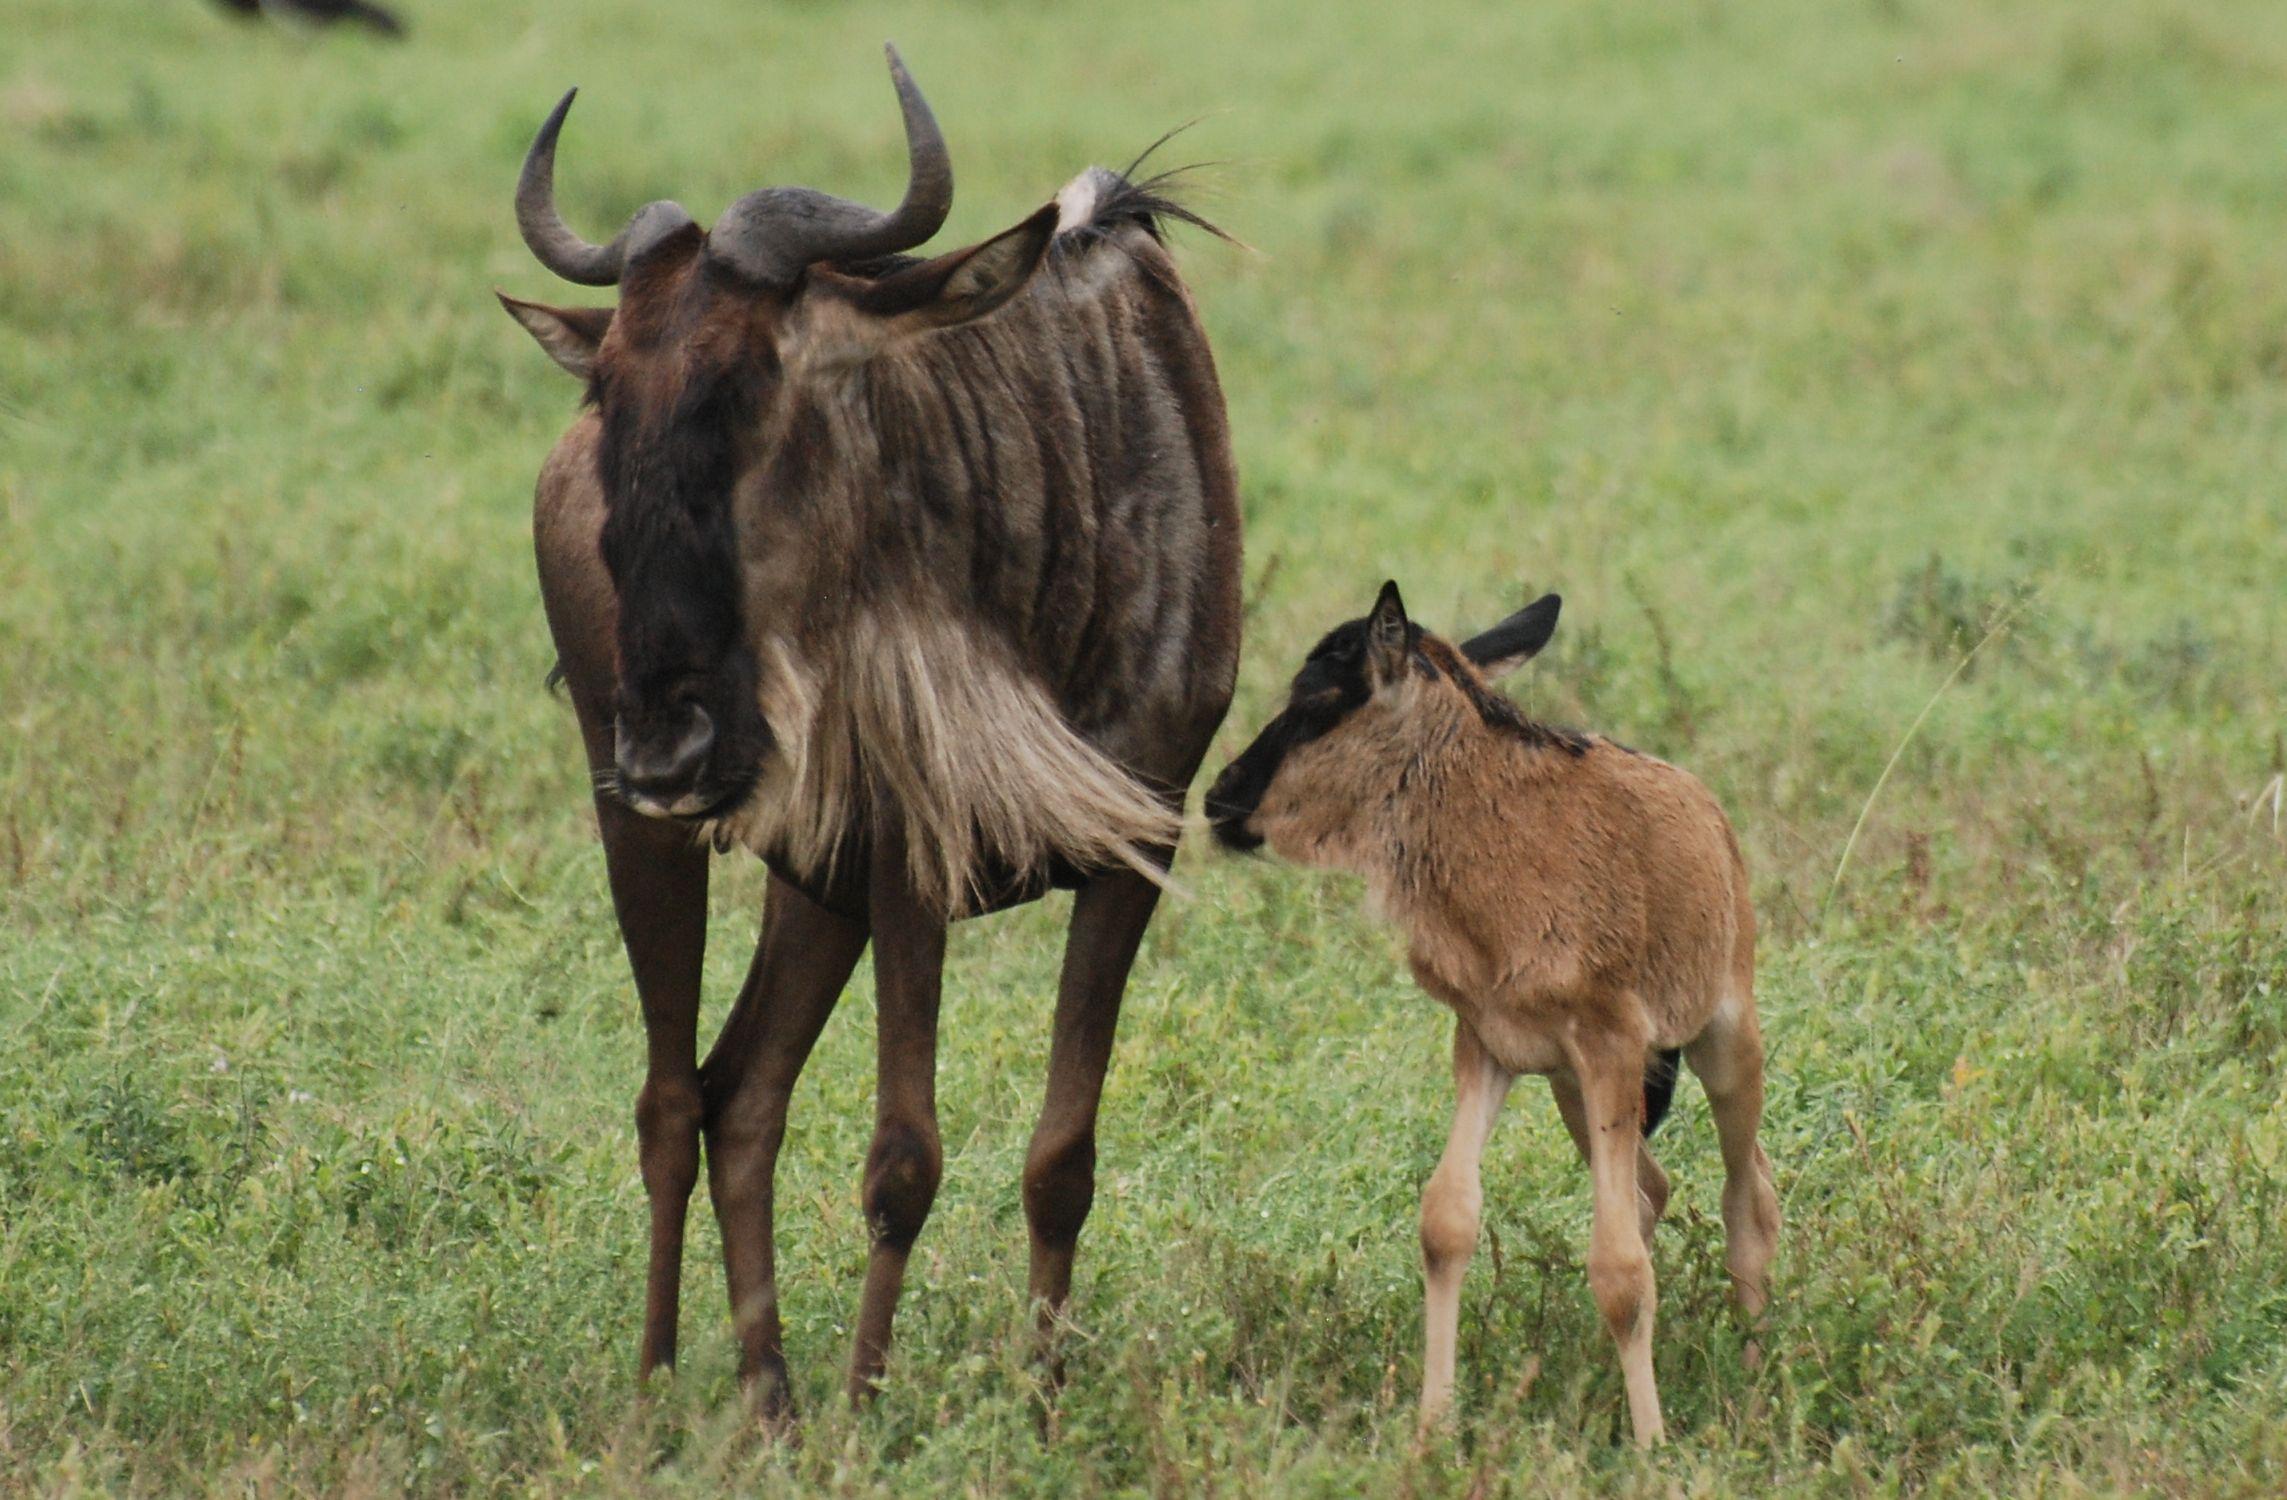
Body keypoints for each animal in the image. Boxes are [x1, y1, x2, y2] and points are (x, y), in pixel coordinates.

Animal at [1207, 583, 1774, 1445]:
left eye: (1316, 702)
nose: (1219, 797)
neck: (1493, 841)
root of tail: (1708, 812)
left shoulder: (1607, 1043)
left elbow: (1617, 1266)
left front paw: (1652, 1447)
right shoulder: (1488, 1044)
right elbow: (1447, 1219)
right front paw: (1431, 1428)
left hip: (1721, 1043)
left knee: (1746, 1201)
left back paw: (1751, 1372)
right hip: (1578, 1093)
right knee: (1651, 1189)